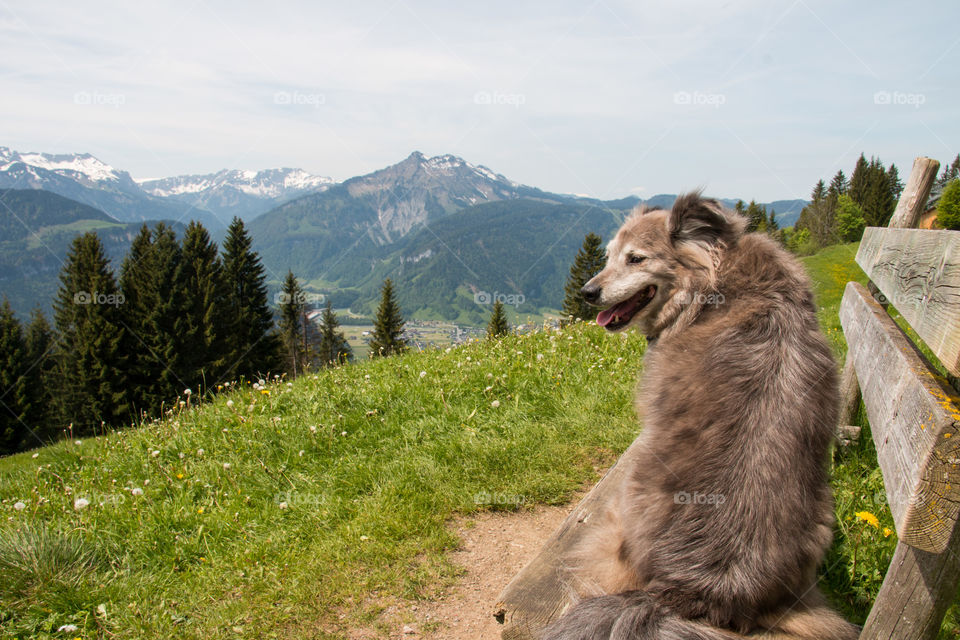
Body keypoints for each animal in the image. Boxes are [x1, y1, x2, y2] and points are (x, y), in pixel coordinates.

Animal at [540, 191, 856, 640]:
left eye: (635, 258)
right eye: (608, 255)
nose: (587, 292)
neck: (709, 288)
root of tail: (695, 591)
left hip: (619, 511)